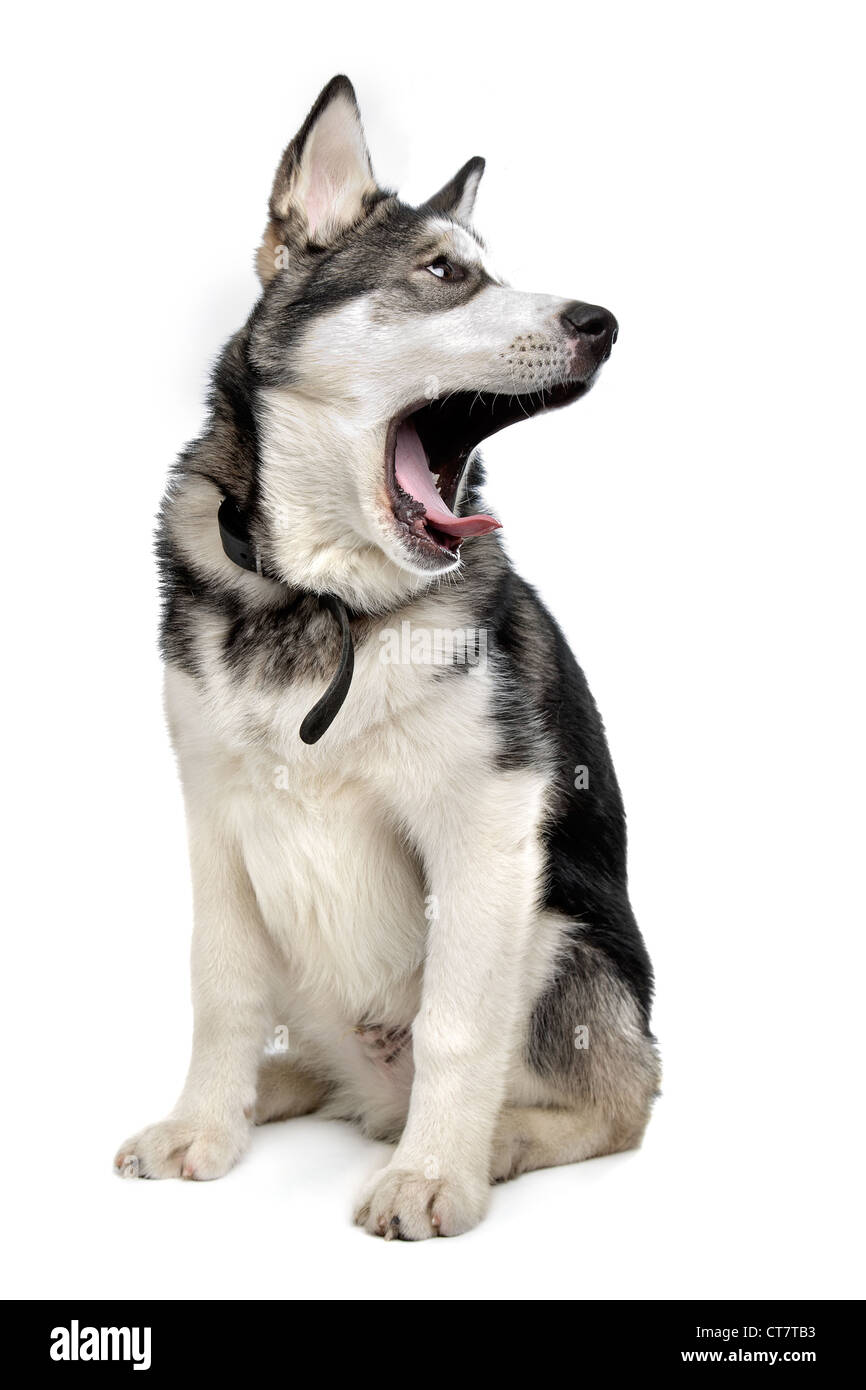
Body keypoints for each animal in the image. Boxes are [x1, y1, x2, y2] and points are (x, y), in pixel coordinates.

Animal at [113, 76, 656, 1239]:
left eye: (487, 268)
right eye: (446, 274)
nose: (601, 323)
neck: (325, 598)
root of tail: (373, 1097)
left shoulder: (487, 819)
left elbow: (459, 1024)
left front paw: (436, 1172)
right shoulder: (212, 810)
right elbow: (221, 988)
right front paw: (205, 1121)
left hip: (563, 936)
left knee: (621, 1102)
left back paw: (494, 1137)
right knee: (312, 1055)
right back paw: (276, 1084)